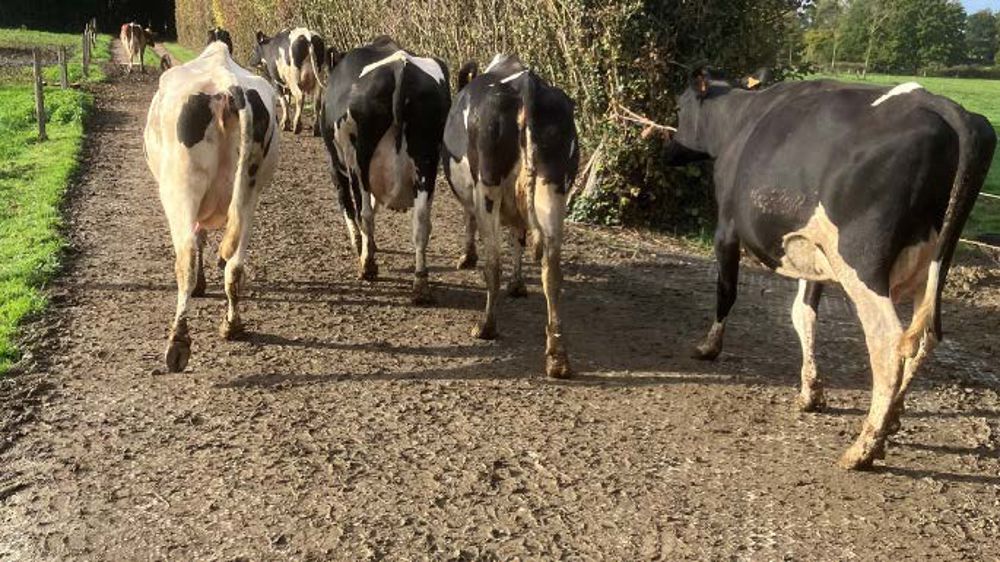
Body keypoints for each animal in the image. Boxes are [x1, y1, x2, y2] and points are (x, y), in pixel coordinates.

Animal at [143, 40, 280, 373]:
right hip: (249, 191)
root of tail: (230, 89)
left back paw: (178, 343)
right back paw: (232, 325)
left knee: (186, 258)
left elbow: (198, 241)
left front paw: (201, 286)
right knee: (235, 265)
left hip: (180, 189)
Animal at [320, 36, 450, 304]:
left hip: (360, 160)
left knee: (366, 213)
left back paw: (368, 265)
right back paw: (420, 284)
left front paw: (360, 244)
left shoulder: (337, 167)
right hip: (427, 160)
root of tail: (400, 67)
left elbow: (349, 205)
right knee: (421, 222)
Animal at [442, 54, 580, 378]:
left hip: (488, 186)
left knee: (493, 264)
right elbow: (518, 236)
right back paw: (558, 358)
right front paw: (517, 285)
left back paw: (486, 326)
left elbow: (471, 222)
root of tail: (528, 88)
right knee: (551, 269)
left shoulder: (471, 194)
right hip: (553, 188)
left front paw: (467, 257)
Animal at [660, 68, 996, 469]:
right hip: (933, 265)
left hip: (861, 262)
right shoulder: (813, 252)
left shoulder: (726, 225)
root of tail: (936, 101)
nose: (666, 151)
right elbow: (802, 314)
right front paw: (811, 392)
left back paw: (863, 448)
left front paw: (708, 347)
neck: (737, 119)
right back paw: (891, 419)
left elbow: (726, 290)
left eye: (679, 108)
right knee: (923, 338)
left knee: (887, 341)